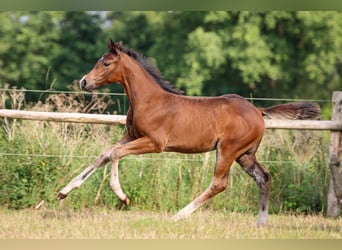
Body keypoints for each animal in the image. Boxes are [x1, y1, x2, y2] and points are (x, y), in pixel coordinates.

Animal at [56, 39, 320, 227]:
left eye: (106, 63)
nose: (83, 82)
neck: (150, 101)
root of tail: (258, 110)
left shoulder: (155, 143)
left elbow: (115, 155)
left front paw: (122, 197)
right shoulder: (131, 136)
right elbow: (104, 155)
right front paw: (63, 192)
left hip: (228, 150)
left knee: (219, 184)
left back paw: (178, 215)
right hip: (245, 155)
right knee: (263, 177)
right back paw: (260, 223)